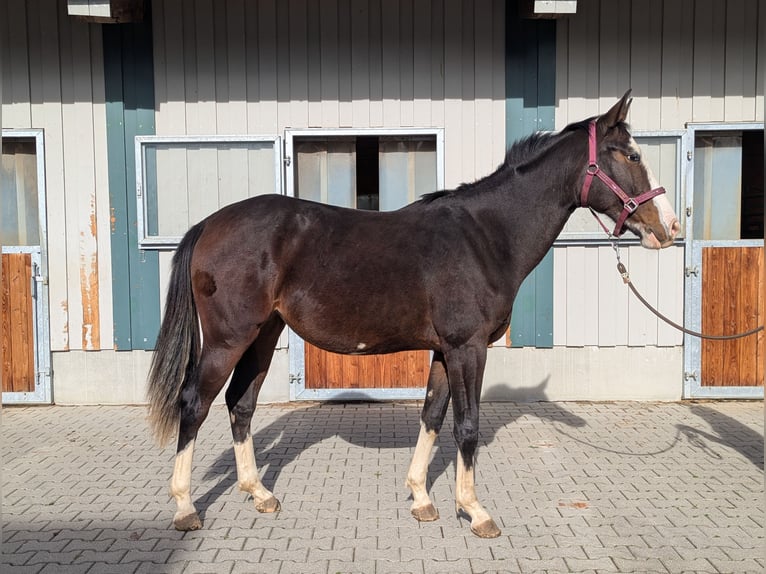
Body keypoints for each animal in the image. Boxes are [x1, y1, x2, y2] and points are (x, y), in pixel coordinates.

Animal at [147, 91, 680, 538]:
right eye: (631, 155)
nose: (670, 227)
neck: (485, 236)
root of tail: (209, 223)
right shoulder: (467, 349)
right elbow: (467, 425)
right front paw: (475, 511)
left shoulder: (445, 351)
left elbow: (432, 415)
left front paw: (422, 498)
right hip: (228, 339)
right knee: (194, 403)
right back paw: (185, 508)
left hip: (262, 335)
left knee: (241, 403)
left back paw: (259, 493)